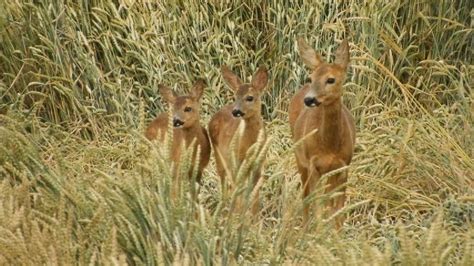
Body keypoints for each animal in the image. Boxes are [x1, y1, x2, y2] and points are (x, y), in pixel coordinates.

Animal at [208, 65, 268, 215]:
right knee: (225, 183)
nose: (236, 111)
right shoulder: (237, 160)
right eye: (236, 97)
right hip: (219, 156)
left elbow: (255, 195)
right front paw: (240, 215)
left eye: (250, 97)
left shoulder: (259, 163)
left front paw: (255, 217)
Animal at [288, 38, 356, 228]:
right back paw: (304, 228)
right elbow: (317, 207)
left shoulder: (344, 165)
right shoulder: (313, 165)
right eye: (311, 78)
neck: (330, 146)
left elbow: (338, 211)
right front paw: (319, 231)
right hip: (300, 159)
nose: (310, 99)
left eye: (331, 79)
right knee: (305, 198)